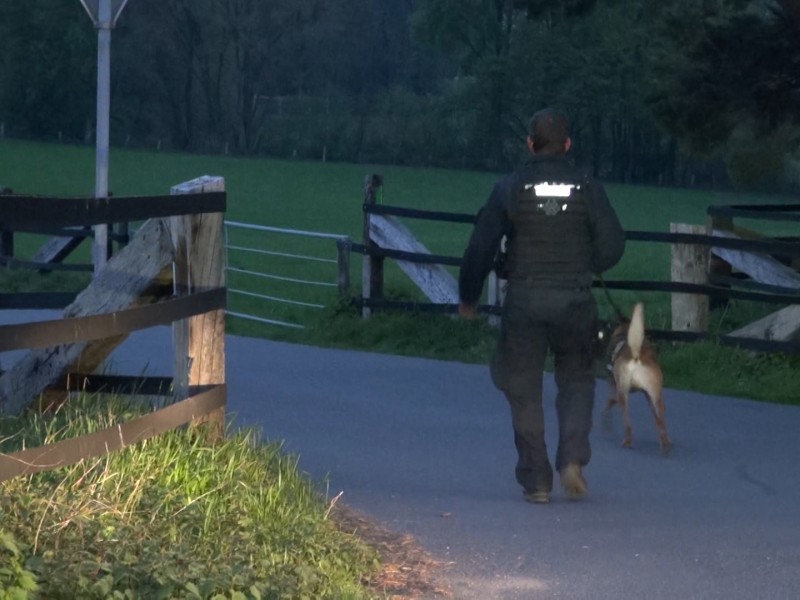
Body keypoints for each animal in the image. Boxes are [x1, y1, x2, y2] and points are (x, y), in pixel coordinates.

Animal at [604, 304, 672, 454]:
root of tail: (636, 357)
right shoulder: (647, 395)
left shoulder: (613, 384)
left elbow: (609, 403)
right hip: (656, 396)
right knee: (661, 420)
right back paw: (665, 445)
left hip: (624, 394)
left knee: (628, 423)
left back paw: (627, 441)